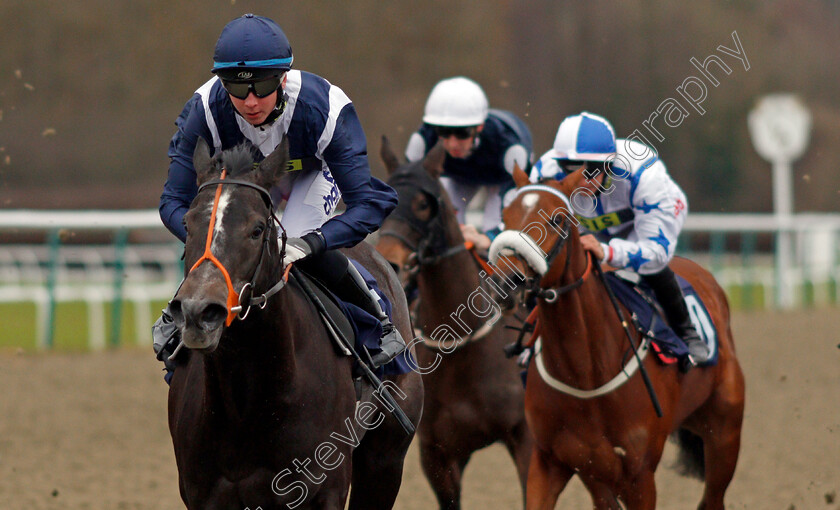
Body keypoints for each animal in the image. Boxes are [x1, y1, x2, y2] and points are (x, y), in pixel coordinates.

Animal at [167, 138, 424, 510]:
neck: (246, 403)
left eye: (257, 229)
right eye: (187, 224)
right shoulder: (204, 495)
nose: (198, 312)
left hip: (385, 460)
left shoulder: (324, 489)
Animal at [488, 168, 744, 510]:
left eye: (556, 219)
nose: (506, 283)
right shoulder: (551, 461)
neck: (586, 373)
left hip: (724, 433)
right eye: (505, 217)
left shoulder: (640, 477)